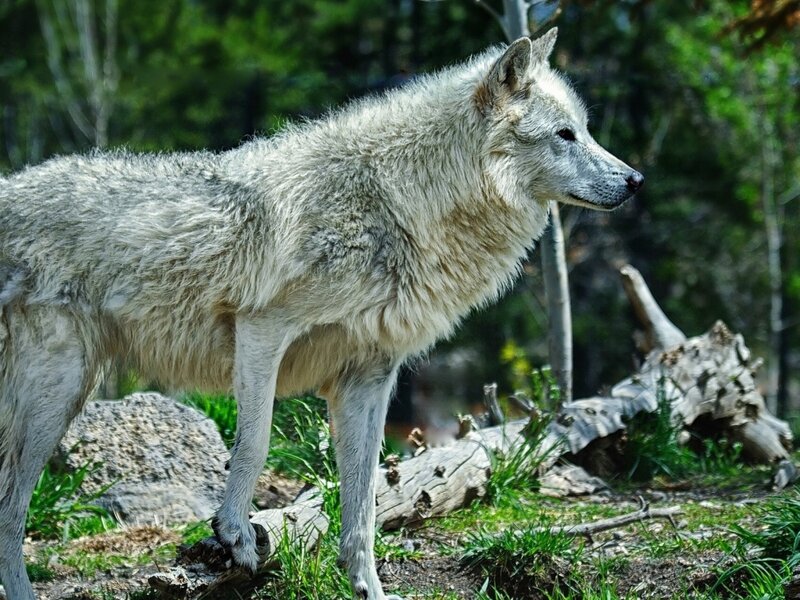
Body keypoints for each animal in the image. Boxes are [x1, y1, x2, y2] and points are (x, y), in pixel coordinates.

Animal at [0, 28, 641, 599]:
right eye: (565, 135)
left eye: (585, 130)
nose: (636, 180)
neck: (399, 201)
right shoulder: (261, 330)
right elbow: (255, 444)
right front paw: (234, 534)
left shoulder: (368, 378)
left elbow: (363, 502)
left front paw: (369, 589)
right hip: (57, 396)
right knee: (11, 508)